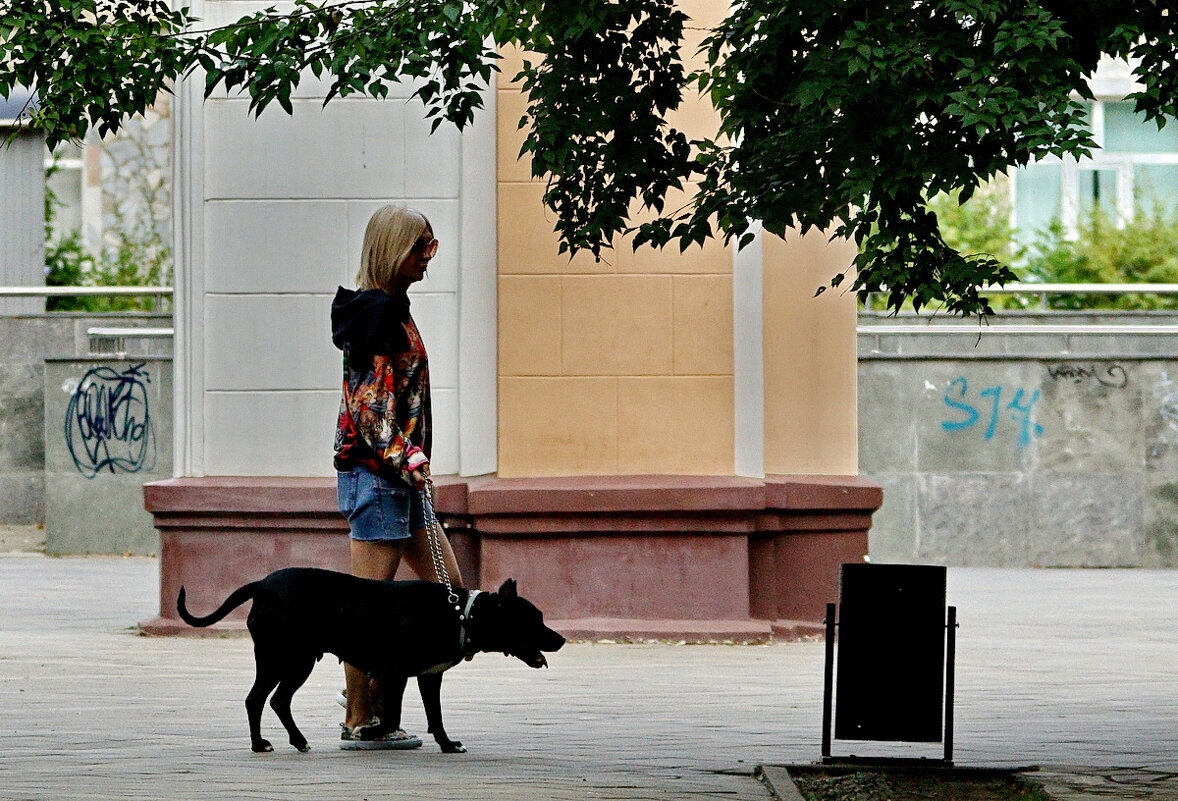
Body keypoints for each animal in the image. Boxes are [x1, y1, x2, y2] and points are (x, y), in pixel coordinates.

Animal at [176, 565, 567, 753]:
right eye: (534, 620)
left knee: (277, 700)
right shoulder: (394, 672)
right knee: (257, 699)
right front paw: (373, 731)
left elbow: (436, 716)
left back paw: (297, 741)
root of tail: (261, 584)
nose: (561, 640)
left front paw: (446, 744)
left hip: (296, 662)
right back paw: (260, 744)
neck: (460, 613)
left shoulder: (429, 676)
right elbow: (392, 713)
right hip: (282, 657)